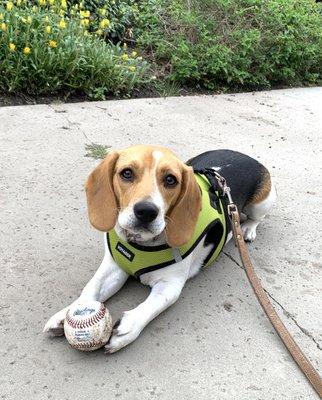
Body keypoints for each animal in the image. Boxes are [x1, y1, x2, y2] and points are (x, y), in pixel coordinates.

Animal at [43, 145, 276, 352]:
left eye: (170, 180)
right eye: (126, 173)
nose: (146, 211)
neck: (140, 243)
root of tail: (246, 156)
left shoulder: (169, 286)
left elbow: (151, 306)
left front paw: (128, 328)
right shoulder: (114, 267)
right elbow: (91, 289)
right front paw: (69, 313)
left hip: (261, 203)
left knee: (257, 218)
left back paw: (247, 229)